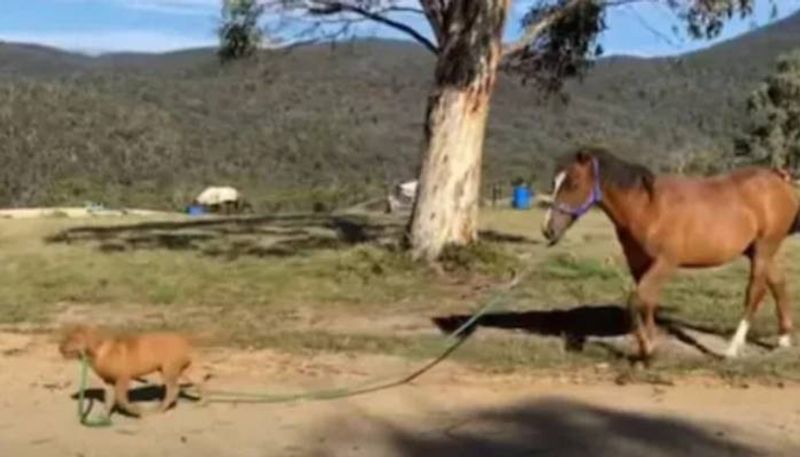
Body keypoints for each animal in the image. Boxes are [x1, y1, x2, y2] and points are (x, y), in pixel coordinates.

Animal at [59, 322, 200, 416]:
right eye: (66, 337)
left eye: (74, 339)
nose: (60, 348)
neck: (99, 351)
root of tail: (184, 341)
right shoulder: (108, 381)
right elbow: (108, 399)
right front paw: (104, 415)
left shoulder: (123, 378)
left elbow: (122, 400)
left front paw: (135, 411)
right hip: (181, 369)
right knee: (196, 381)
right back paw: (200, 401)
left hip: (169, 370)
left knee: (173, 390)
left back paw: (160, 408)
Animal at [544, 147, 800, 360]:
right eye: (555, 182)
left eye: (573, 183)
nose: (548, 229)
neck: (647, 208)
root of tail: (781, 182)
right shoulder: (639, 263)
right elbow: (647, 302)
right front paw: (651, 343)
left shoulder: (666, 262)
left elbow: (636, 300)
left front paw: (647, 348)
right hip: (757, 250)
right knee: (778, 283)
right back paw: (783, 339)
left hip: (764, 248)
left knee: (755, 292)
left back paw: (732, 349)